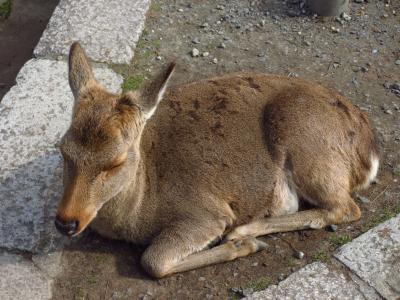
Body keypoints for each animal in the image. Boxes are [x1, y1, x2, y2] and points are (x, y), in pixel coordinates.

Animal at [54, 41, 378, 278]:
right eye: (62, 149)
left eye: (116, 162)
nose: (66, 223)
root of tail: (369, 152)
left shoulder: (205, 212)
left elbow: (153, 261)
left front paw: (244, 245)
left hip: (308, 147)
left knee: (345, 207)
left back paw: (245, 231)